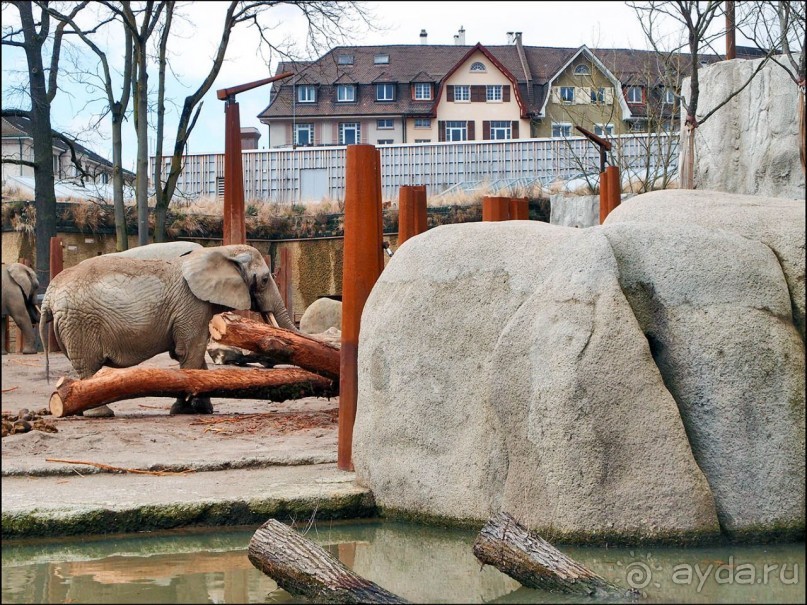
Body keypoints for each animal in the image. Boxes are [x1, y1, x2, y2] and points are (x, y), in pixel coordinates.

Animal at [38, 244, 296, 416]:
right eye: (265, 279)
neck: (221, 250)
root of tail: (49, 294)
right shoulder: (192, 305)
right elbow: (190, 354)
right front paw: (183, 410)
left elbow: (191, 357)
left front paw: (200, 409)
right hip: (81, 322)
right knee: (88, 366)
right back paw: (102, 413)